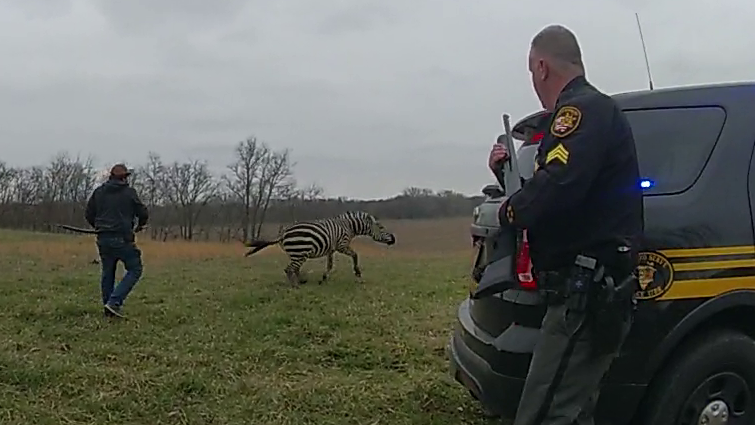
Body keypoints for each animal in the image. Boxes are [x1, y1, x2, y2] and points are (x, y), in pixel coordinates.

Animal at [242, 210, 396, 286]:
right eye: (382, 228)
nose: (394, 239)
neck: (348, 226)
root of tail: (283, 233)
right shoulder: (342, 246)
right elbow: (355, 255)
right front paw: (358, 275)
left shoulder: (331, 249)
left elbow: (329, 265)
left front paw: (324, 278)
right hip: (300, 253)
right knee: (289, 269)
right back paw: (295, 286)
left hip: (296, 254)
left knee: (294, 269)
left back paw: (300, 282)